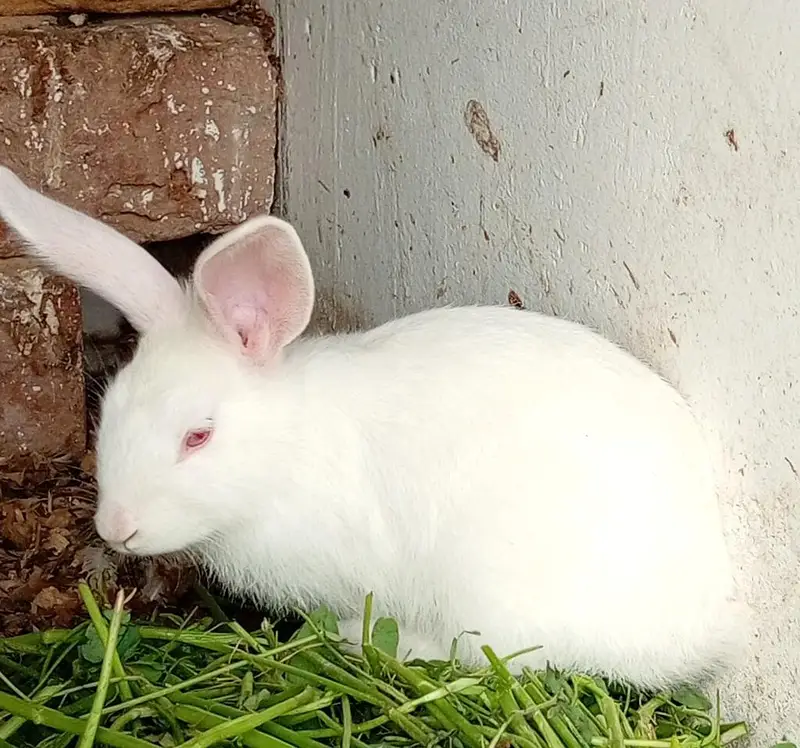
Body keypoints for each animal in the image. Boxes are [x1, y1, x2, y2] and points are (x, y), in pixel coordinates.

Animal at [0, 165, 743, 689]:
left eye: (198, 436)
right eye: (108, 411)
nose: (116, 528)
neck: (286, 453)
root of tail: (701, 631)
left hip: (492, 591)